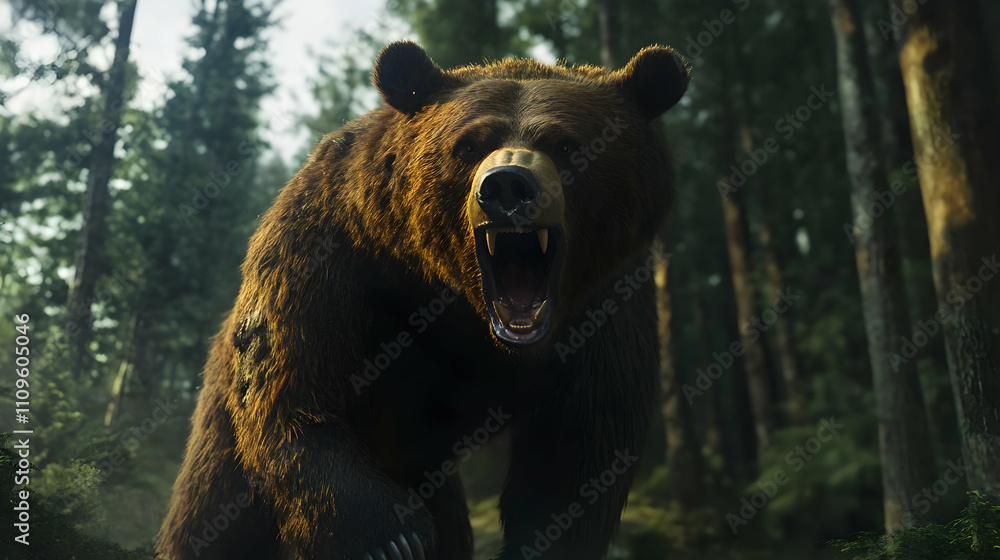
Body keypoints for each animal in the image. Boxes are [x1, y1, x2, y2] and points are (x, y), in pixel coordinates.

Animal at [157, 40, 689, 560]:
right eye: (469, 144)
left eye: (565, 144)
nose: (508, 184)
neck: (461, 304)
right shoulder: (333, 250)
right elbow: (295, 390)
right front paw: (392, 538)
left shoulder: (607, 302)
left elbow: (577, 450)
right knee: (213, 512)